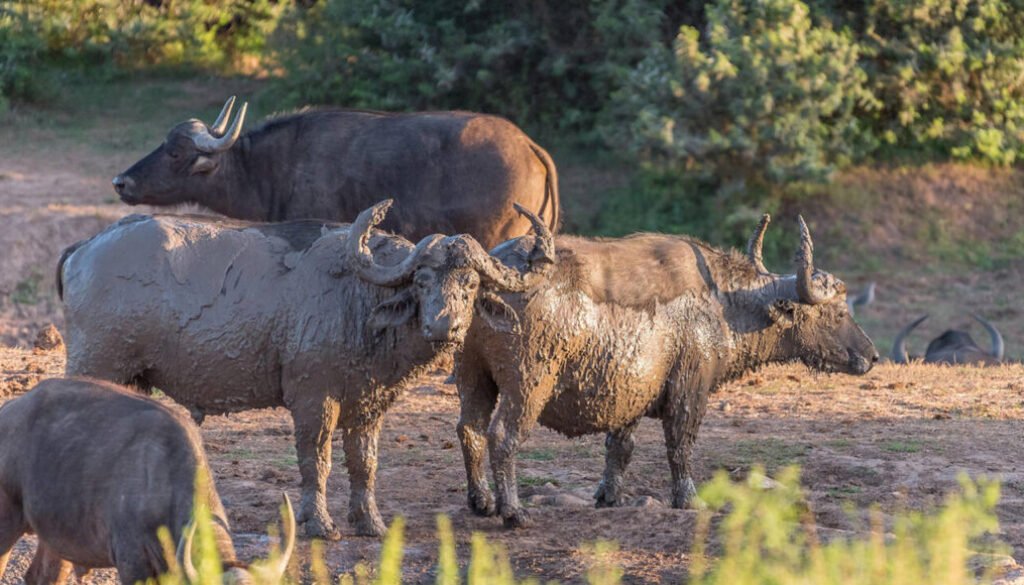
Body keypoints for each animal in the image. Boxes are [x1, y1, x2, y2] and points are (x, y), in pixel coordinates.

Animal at [0, 377, 295, 585]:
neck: (164, 482)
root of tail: (9, 409)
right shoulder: (132, 563)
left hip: (56, 536)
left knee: (41, 577)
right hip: (7, 522)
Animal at [58, 203, 552, 539]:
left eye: (470, 284)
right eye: (423, 281)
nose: (444, 326)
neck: (359, 299)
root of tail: (85, 249)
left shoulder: (368, 404)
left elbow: (364, 462)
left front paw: (369, 522)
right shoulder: (314, 399)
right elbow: (317, 460)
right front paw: (321, 524)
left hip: (132, 380)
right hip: (96, 364)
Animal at [445, 214, 877, 527]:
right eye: (836, 313)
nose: (872, 356)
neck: (722, 303)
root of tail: (491, 278)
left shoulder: (629, 393)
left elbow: (620, 447)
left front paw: (609, 496)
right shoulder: (690, 389)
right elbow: (680, 446)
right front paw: (688, 499)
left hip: (472, 377)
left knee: (469, 430)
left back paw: (481, 502)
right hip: (528, 385)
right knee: (503, 436)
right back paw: (513, 512)